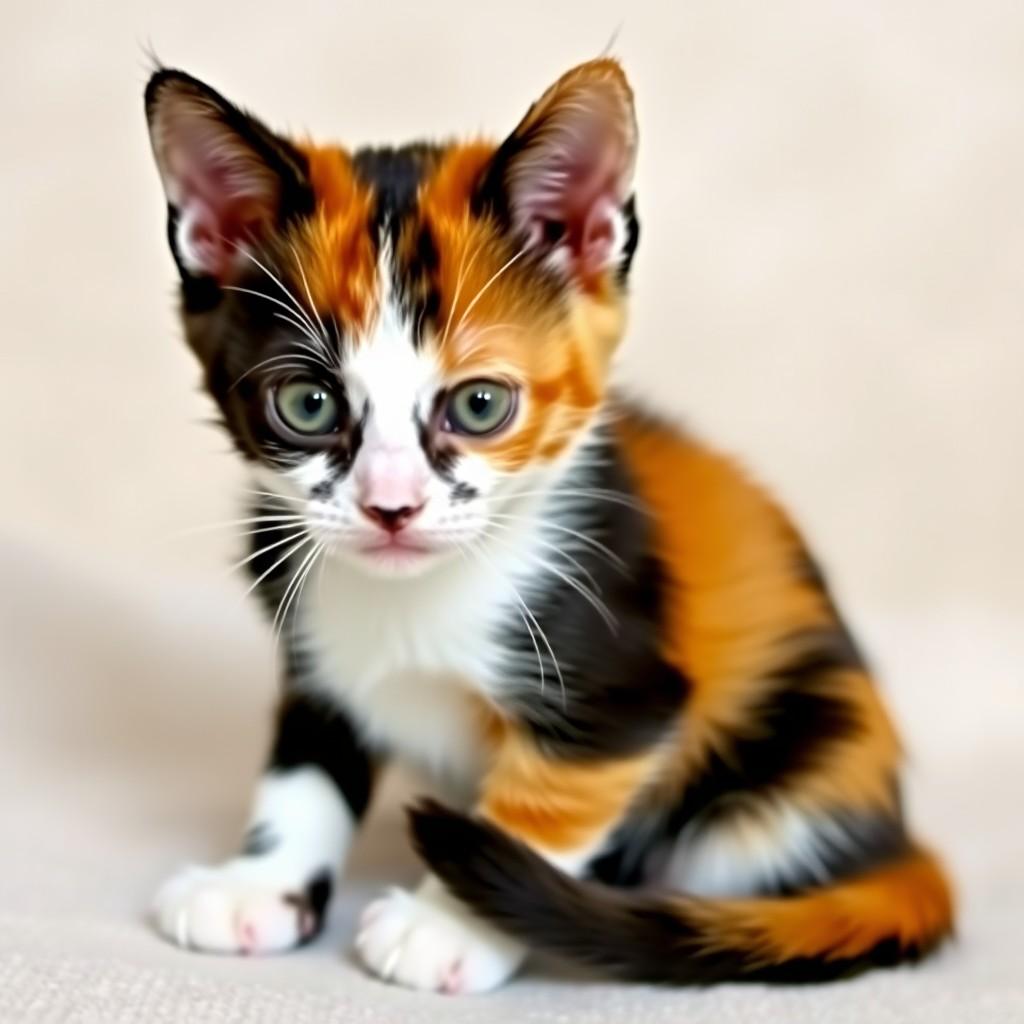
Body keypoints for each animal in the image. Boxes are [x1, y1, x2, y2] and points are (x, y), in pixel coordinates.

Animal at [142, 58, 950, 991]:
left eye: (480, 405)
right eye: (307, 405)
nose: (391, 506)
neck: (414, 602)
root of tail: (894, 836)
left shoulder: (619, 679)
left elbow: (543, 804)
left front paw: (446, 926)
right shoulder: (313, 648)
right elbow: (302, 770)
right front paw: (260, 885)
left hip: (787, 763)